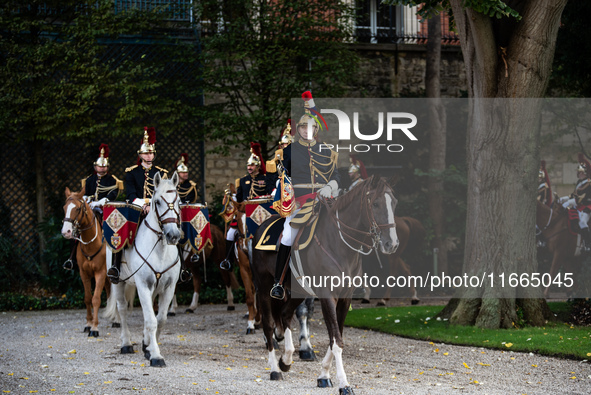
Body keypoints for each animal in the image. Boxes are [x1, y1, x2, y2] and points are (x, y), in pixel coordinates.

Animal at [61, 188, 110, 338]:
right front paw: (88, 324)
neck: (91, 243)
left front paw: (95, 328)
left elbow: (96, 299)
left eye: (77, 208)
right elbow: (88, 298)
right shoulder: (84, 274)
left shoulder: (100, 273)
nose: (66, 231)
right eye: (64, 207)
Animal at [103, 172, 183, 368]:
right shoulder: (143, 285)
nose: (173, 235)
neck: (160, 249)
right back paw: (126, 344)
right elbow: (150, 320)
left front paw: (148, 348)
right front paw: (156, 355)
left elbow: (160, 319)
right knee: (122, 309)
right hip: (118, 282)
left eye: (178, 201)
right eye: (158, 201)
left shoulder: (169, 287)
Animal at [252, 178, 400, 394]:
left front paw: (323, 376)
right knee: (269, 323)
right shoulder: (327, 295)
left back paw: (286, 360)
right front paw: (344, 384)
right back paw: (274, 369)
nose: (392, 244)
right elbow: (336, 340)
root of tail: (261, 225)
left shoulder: (345, 297)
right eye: (375, 204)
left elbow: (335, 336)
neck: (340, 245)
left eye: (394, 203)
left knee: (285, 315)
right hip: (263, 287)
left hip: (298, 290)